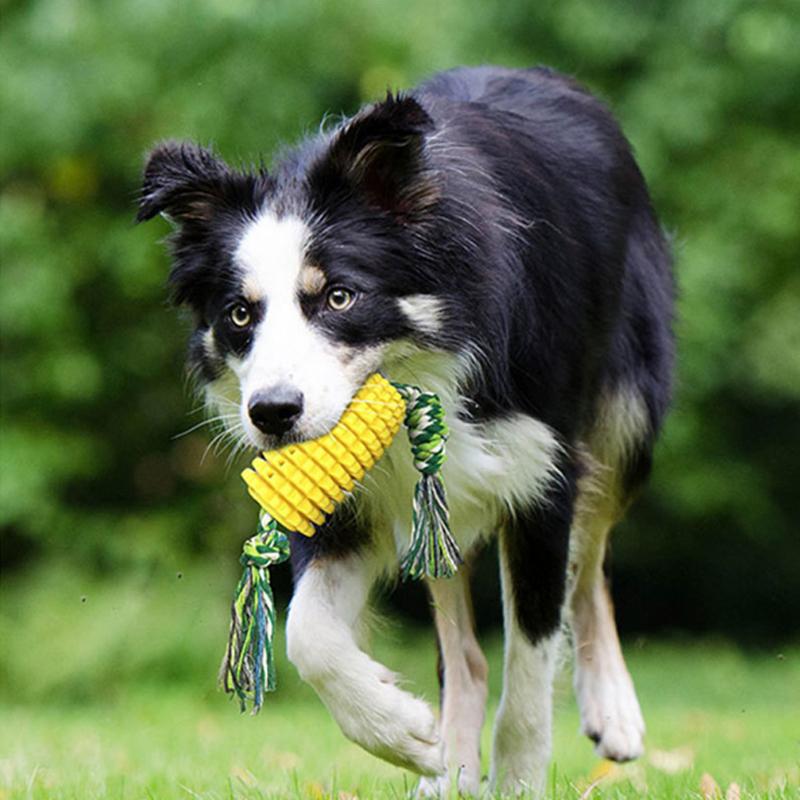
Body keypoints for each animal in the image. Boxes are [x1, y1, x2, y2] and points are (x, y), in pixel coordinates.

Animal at [139, 67, 676, 792]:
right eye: (240, 314)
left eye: (339, 297)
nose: (273, 414)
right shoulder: (348, 499)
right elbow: (308, 635)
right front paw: (404, 735)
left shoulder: (543, 476)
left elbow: (531, 668)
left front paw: (518, 782)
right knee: (467, 652)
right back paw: (448, 768)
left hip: (625, 414)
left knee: (591, 558)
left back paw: (612, 710)